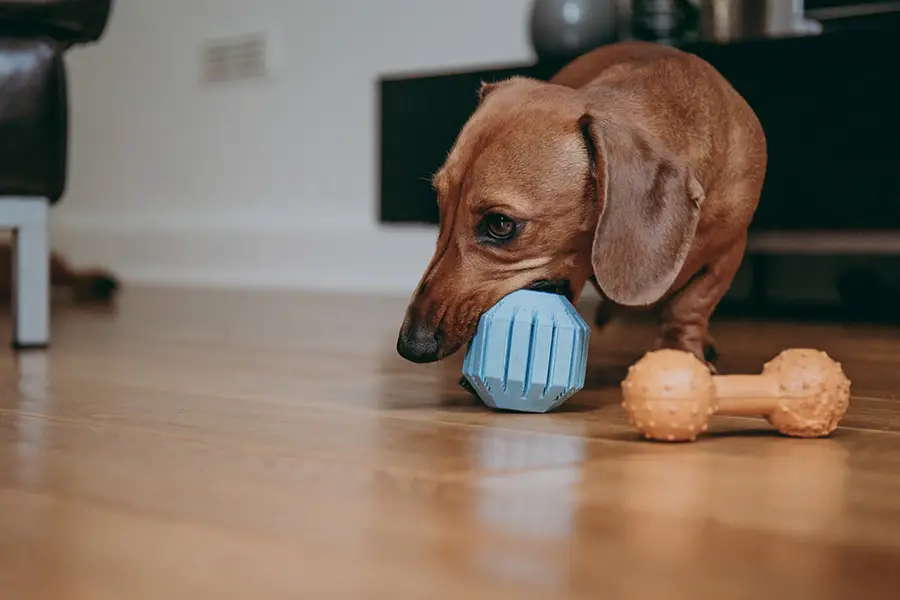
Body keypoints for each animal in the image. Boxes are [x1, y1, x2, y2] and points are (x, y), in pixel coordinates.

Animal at [398, 42, 764, 370]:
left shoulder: (730, 251)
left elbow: (690, 305)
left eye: (500, 224)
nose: (411, 346)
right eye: (440, 204)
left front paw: (681, 352)